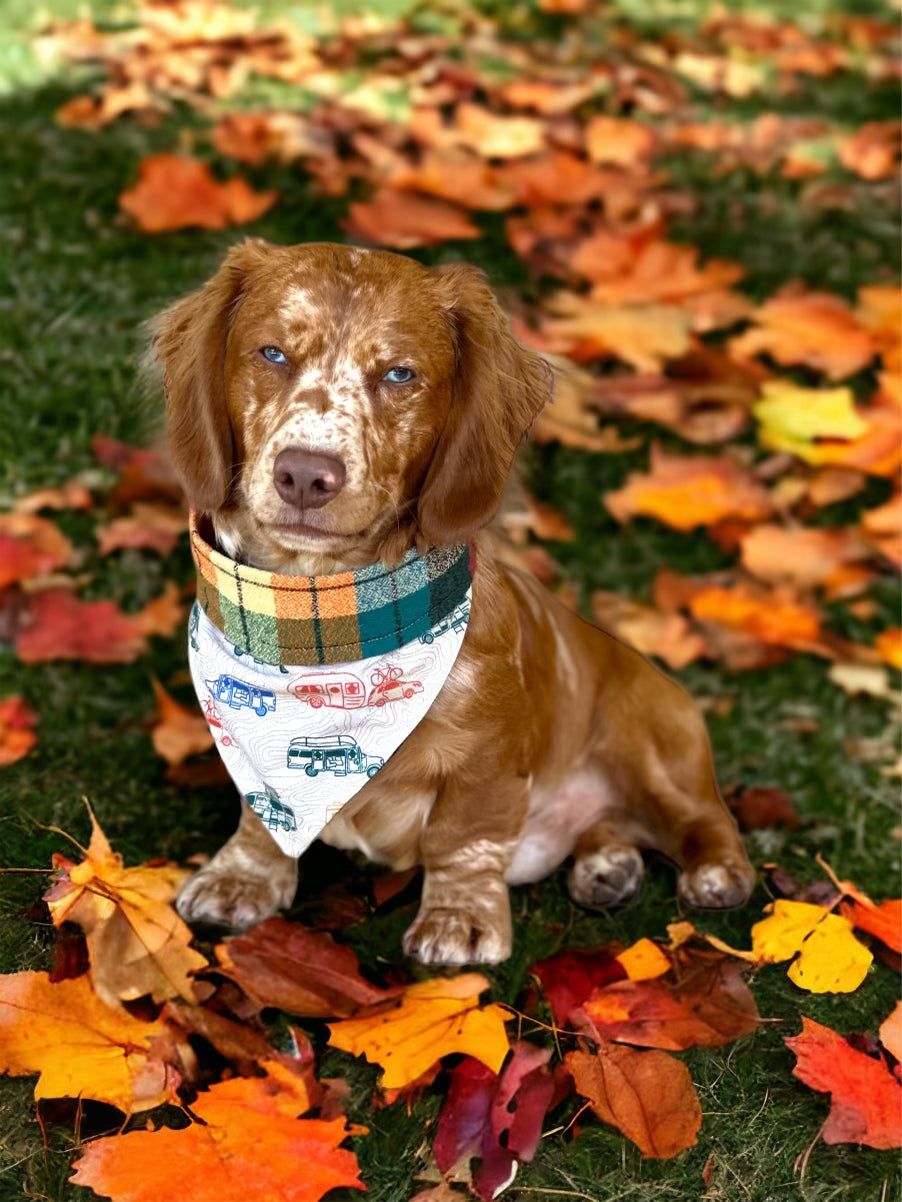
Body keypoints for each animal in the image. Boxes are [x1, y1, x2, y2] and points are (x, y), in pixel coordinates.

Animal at [150, 241, 755, 966]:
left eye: (400, 373)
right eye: (271, 353)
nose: (305, 474)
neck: (324, 620)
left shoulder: (487, 758)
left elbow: (462, 838)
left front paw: (460, 921)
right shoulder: (253, 754)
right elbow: (264, 816)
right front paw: (242, 879)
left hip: (653, 741)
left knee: (705, 817)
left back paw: (716, 872)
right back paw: (605, 864)